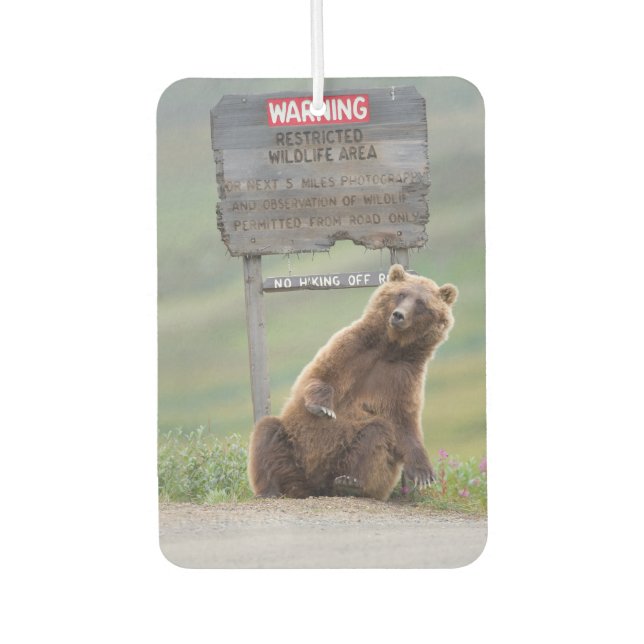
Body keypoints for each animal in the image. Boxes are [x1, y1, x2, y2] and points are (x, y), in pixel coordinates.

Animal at [248, 264, 458, 501]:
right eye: (401, 294)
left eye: (421, 303)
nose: (398, 315)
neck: (390, 347)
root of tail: (315, 488)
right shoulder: (353, 347)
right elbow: (320, 374)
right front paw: (324, 407)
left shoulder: (403, 375)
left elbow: (403, 420)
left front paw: (423, 473)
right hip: (294, 445)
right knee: (267, 433)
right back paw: (270, 490)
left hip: (344, 456)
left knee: (376, 434)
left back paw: (350, 483)